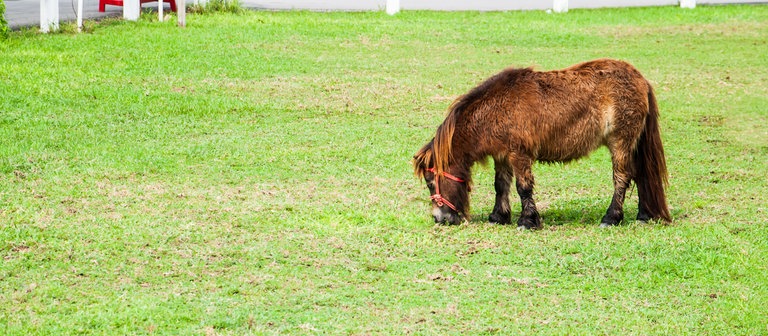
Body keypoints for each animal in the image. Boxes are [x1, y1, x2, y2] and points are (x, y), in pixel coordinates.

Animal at [412, 59, 668, 230]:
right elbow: (501, 186)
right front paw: (499, 217)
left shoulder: (519, 155)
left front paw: (527, 221)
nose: (439, 218)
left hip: (620, 142)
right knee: (640, 174)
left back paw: (611, 217)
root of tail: (640, 79)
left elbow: (523, 187)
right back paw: (643, 215)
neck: (497, 109)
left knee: (622, 178)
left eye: (430, 181)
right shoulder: (502, 156)